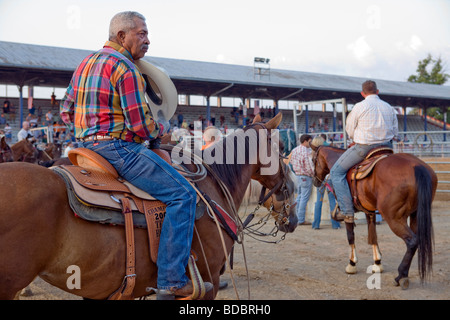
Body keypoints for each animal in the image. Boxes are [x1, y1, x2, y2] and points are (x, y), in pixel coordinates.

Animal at [310, 146, 436, 290]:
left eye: (313, 159)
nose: (315, 181)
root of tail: (417, 166)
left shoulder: (348, 212)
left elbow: (350, 235)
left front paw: (352, 264)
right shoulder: (369, 210)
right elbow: (373, 234)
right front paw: (377, 263)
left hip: (394, 218)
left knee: (412, 241)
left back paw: (401, 275)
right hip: (415, 215)